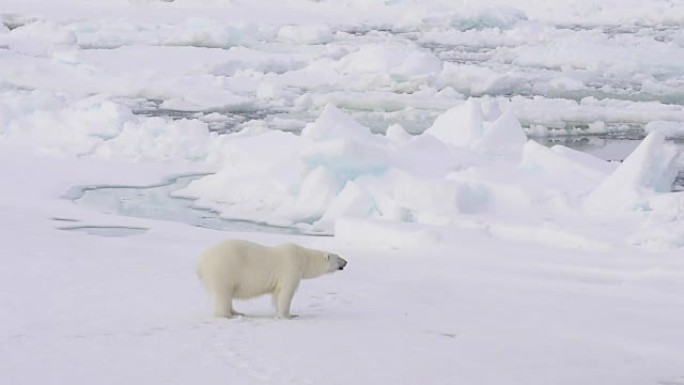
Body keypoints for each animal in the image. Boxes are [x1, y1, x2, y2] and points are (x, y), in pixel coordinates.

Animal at [196, 240, 348, 318]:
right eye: (338, 257)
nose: (346, 262)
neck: (304, 258)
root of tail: (201, 263)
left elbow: (276, 294)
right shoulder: (291, 267)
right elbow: (286, 293)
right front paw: (288, 315)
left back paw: (237, 312)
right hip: (223, 269)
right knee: (223, 293)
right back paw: (228, 315)